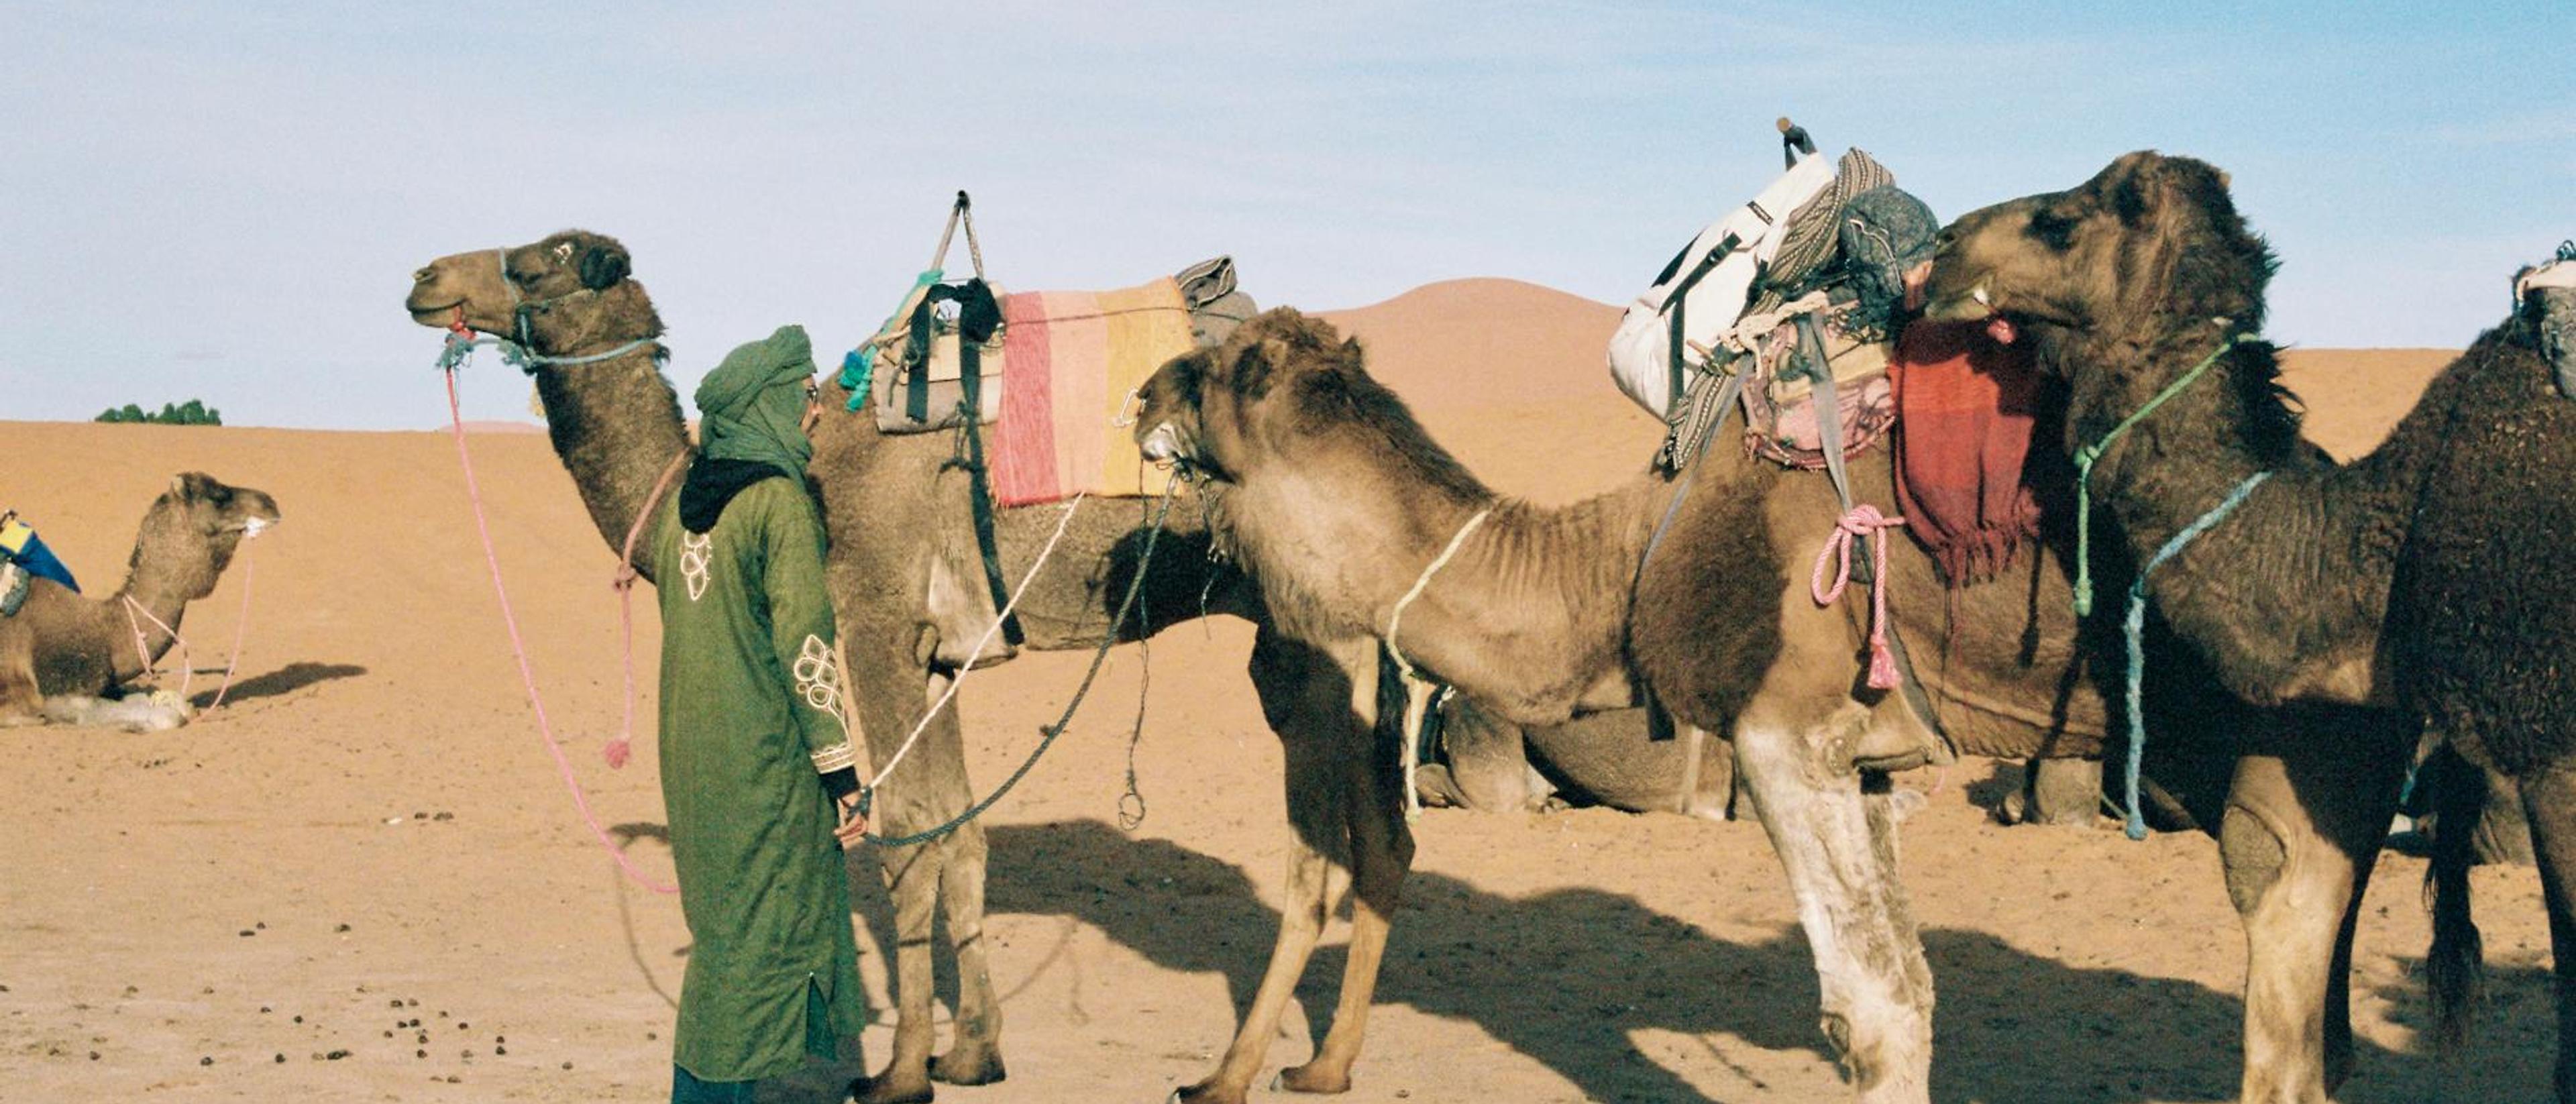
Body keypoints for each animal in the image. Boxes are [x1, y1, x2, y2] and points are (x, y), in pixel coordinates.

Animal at [0, 472, 280, 731]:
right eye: (218, 496)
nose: (270, 503)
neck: (102, 630)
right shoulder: (63, 693)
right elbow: (169, 717)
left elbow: (169, 701)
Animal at [401, 230, 1723, 1103]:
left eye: (541, 261)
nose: (424, 281)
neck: (777, 469)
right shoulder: (934, 653)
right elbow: (960, 835)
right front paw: (974, 1049)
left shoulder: (870, 622)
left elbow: (908, 839)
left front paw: (899, 1070)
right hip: (1348, 647)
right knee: (1385, 837)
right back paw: (1325, 1061)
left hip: (1313, 639)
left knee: (1332, 847)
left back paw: (1246, 1069)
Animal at [1131, 306, 2401, 1102]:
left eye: (1233, 373)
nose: (1145, 387)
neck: (1616, 564)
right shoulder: (1871, 763)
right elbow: (1915, 988)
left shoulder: (1783, 728)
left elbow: (1873, 1019)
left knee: (2280, 1040)